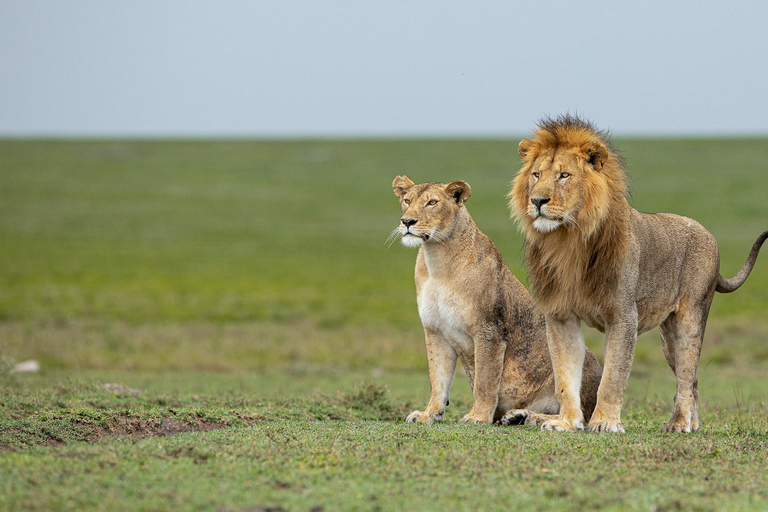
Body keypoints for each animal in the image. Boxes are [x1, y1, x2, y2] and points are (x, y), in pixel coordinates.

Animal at [392, 176, 604, 424]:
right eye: (407, 201)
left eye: (432, 202)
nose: (407, 221)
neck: (437, 259)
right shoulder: (435, 331)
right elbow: (438, 380)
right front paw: (428, 414)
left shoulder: (489, 331)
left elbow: (484, 382)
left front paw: (478, 417)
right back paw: (518, 416)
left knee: (580, 414)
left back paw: (536, 419)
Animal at [508, 115, 764, 432]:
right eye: (536, 174)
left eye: (564, 175)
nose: (537, 201)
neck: (568, 241)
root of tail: (707, 232)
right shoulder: (560, 315)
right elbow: (565, 376)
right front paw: (566, 421)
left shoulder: (623, 315)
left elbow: (613, 376)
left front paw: (604, 423)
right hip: (668, 337)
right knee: (692, 379)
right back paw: (691, 423)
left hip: (690, 319)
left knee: (686, 375)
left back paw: (679, 423)